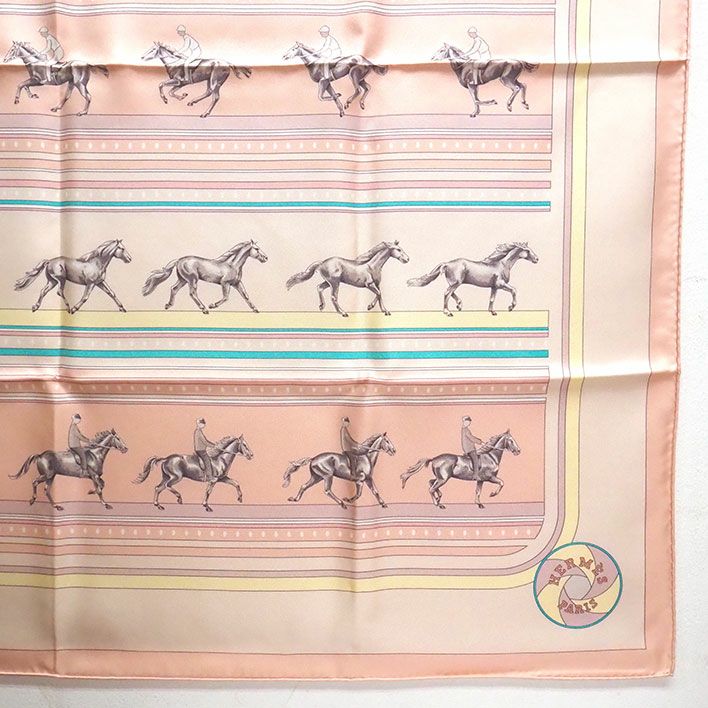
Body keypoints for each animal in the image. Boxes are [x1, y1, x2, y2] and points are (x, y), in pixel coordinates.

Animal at [407, 242, 538, 316]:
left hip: (455, 283)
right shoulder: (500, 284)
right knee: (446, 293)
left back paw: (459, 305)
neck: (502, 264)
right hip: (456, 282)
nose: (537, 259)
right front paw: (510, 307)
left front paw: (492, 311)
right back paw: (448, 312)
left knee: (450, 293)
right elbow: (514, 290)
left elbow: (492, 299)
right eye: (527, 250)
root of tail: (447, 263)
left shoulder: (494, 287)